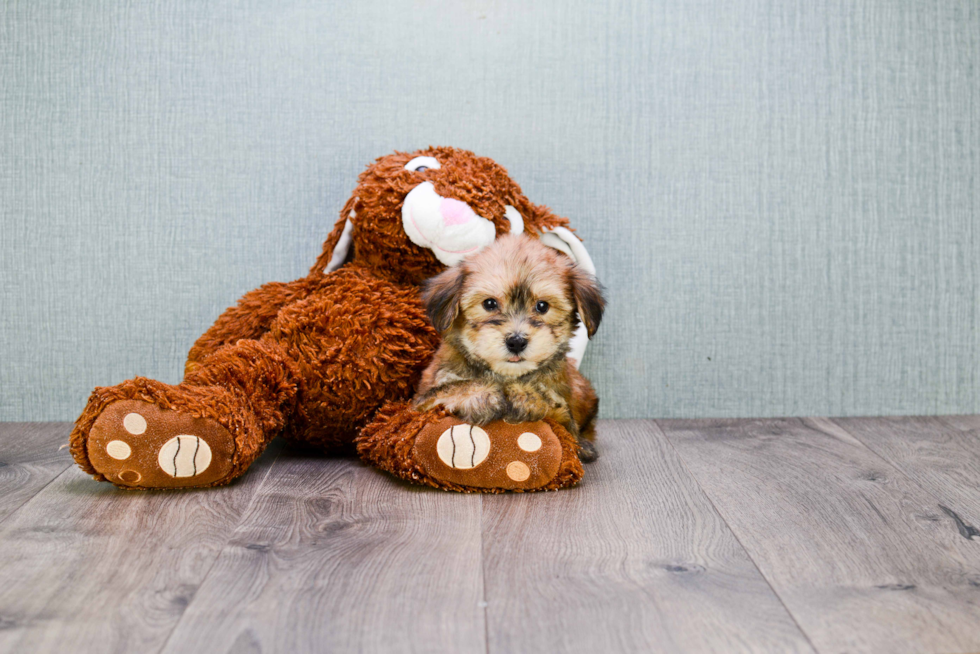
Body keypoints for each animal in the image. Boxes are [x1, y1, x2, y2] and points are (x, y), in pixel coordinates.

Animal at [414, 234, 604, 462]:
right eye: (489, 304)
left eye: (542, 306)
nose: (516, 341)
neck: (506, 375)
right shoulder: (421, 401)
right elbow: (453, 387)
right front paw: (483, 394)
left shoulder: (566, 417)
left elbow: (558, 411)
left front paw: (526, 396)